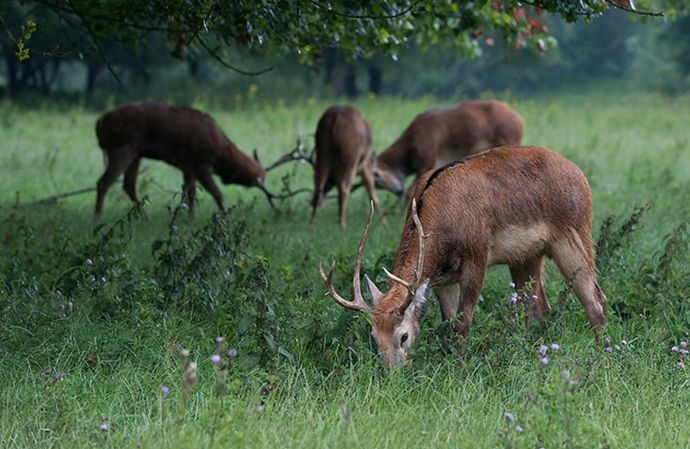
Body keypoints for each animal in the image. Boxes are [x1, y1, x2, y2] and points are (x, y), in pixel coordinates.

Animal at [320, 145, 604, 366]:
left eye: (403, 336)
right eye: (373, 336)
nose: (391, 373)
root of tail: (581, 175)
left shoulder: (477, 257)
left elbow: (462, 325)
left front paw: (458, 370)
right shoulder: (443, 279)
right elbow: (448, 324)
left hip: (573, 235)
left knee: (595, 300)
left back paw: (605, 355)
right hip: (526, 256)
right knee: (539, 309)